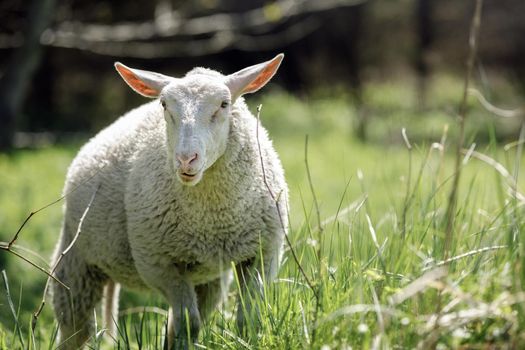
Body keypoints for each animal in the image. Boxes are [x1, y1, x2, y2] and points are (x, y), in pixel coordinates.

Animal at [49, 53, 288, 348]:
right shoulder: (157, 264)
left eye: (224, 104)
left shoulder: (264, 254)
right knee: (76, 329)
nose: (186, 159)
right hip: (76, 261)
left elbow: (248, 318)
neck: (214, 220)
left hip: (208, 278)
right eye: (164, 104)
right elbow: (188, 324)